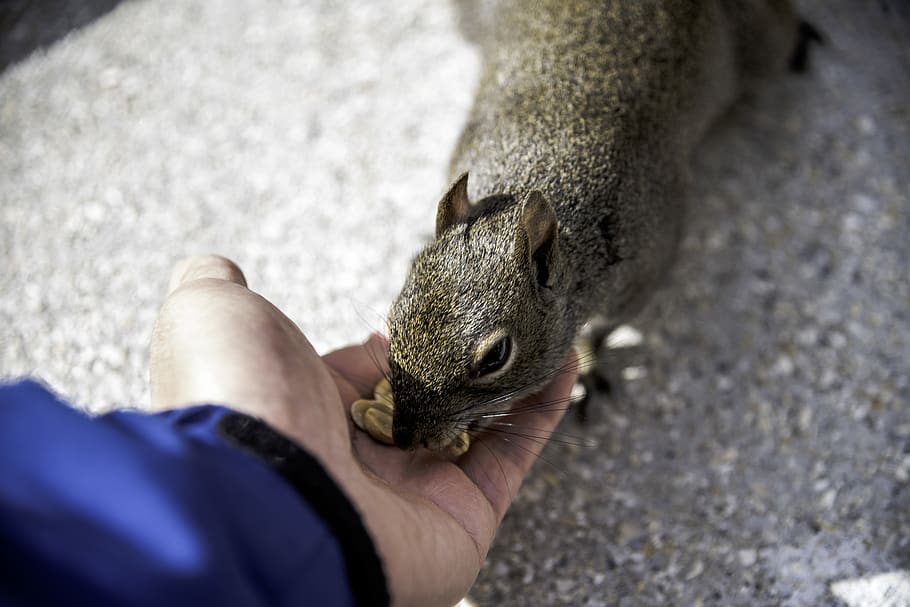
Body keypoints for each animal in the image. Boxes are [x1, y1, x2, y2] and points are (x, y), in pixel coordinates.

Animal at [384, 0, 811, 451]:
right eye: (394, 319)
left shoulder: (642, 275)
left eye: (495, 357)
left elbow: (603, 330)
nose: (404, 437)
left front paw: (587, 364)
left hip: (758, 46)